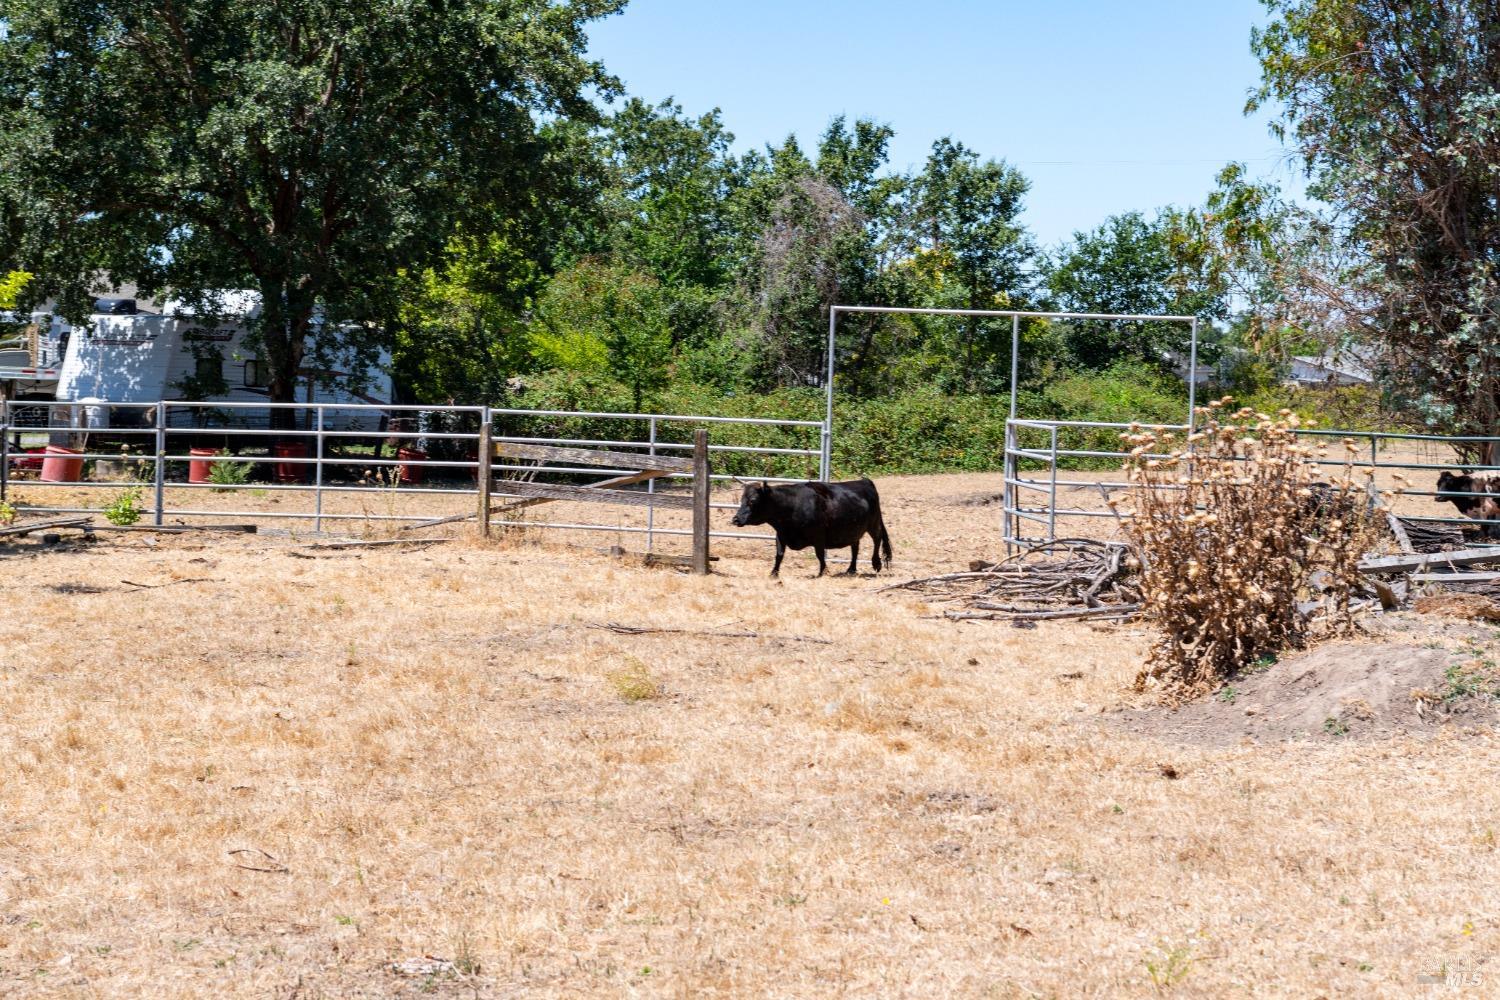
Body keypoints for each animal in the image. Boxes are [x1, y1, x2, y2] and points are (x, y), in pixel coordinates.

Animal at [729, 479, 888, 578]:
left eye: (753, 501)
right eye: (741, 499)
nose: (735, 519)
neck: (791, 506)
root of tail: (864, 481)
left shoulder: (818, 537)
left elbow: (820, 555)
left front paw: (823, 572)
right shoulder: (781, 535)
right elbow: (779, 555)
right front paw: (773, 573)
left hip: (874, 524)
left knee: (877, 539)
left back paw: (876, 564)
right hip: (854, 529)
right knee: (855, 547)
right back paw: (851, 569)